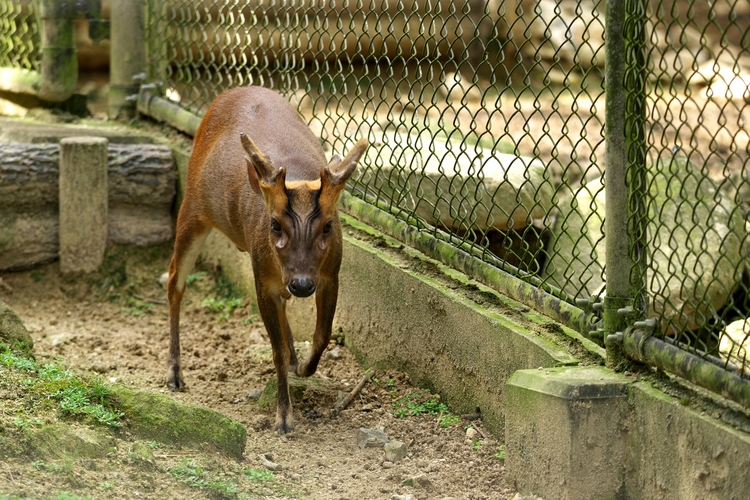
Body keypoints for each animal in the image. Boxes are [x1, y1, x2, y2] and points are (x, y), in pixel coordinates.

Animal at [169, 86, 372, 434]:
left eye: (328, 226)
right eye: (275, 224)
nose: (302, 284)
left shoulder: (330, 274)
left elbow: (322, 336)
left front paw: (303, 368)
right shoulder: (262, 280)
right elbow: (275, 350)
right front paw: (284, 417)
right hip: (193, 206)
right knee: (174, 282)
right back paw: (174, 374)